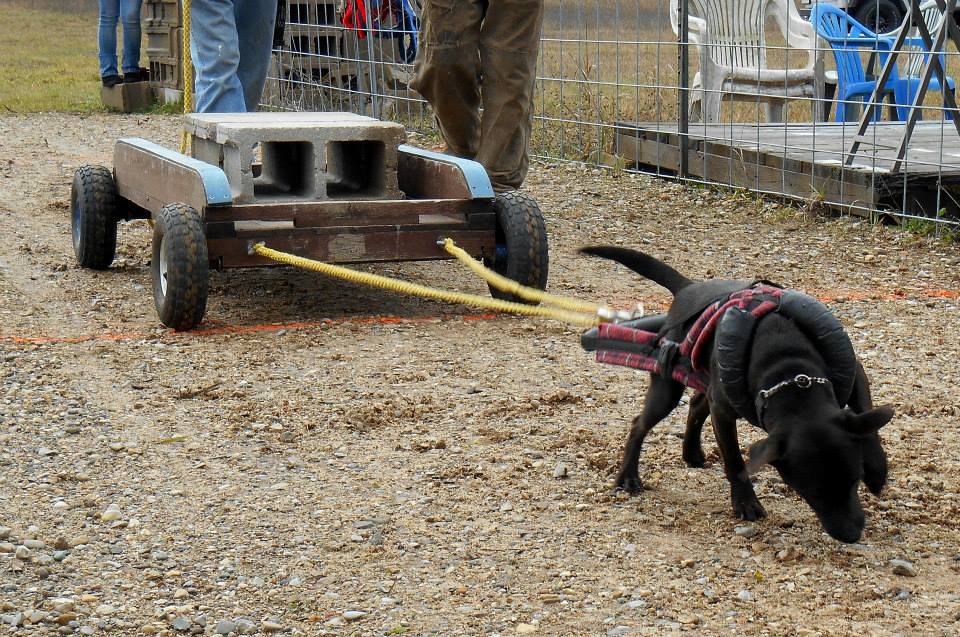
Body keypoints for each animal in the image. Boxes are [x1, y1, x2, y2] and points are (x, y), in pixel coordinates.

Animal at [584, 246, 892, 540]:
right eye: (809, 492)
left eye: (855, 479)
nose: (851, 535)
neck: (792, 374)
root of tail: (688, 289)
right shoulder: (723, 412)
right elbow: (734, 460)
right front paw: (745, 503)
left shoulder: (856, 376)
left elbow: (868, 421)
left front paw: (877, 471)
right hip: (668, 386)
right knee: (641, 424)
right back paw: (628, 477)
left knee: (695, 405)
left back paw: (691, 452)